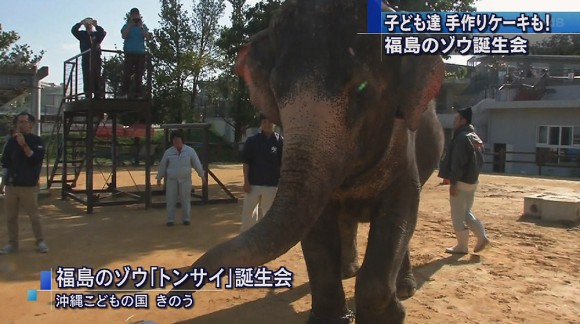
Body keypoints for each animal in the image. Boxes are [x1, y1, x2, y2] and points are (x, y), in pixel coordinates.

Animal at [168, 1, 444, 322]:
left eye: (361, 89)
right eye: (276, 90)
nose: (173, 296)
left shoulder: (403, 147)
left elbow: (400, 211)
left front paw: (392, 314)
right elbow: (316, 234)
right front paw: (331, 318)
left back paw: (404, 288)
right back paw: (347, 270)